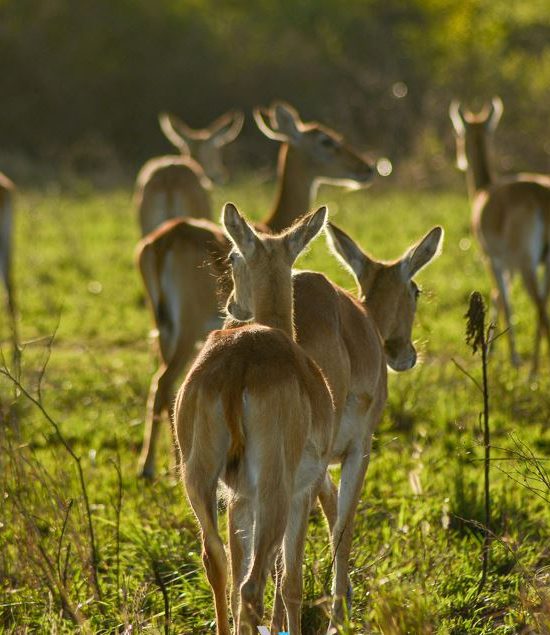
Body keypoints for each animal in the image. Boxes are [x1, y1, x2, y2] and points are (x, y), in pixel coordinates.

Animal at [138, 100, 378, 476]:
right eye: (325, 139)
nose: (366, 168)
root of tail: (166, 240)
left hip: (163, 327)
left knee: (160, 386)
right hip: (186, 330)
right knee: (164, 383)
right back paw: (155, 469)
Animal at [175, 205, 334, 635]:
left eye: (233, 257)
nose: (233, 305)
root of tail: (237, 363)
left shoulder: (239, 498)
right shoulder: (303, 491)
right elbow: (291, 582)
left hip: (198, 478)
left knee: (216, 563)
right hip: (274, 492)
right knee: (252, 585)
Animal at [226, 217, 446, 632]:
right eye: (416, 289)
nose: (406, 355)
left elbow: (330, 512)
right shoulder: (358, 449)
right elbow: (344, 522)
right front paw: (339, 613)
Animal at [450, 97, 550, 376]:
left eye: (459, 132)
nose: (459, 159)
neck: (484, 191)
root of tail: (540, 196)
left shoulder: (493, 259)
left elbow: (504, 300)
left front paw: (512, 358)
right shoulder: (509, 265)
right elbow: (498, 297)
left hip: (527, 264)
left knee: (539, 306)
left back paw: (532, 372)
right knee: (543, 303)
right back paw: (534, 368)